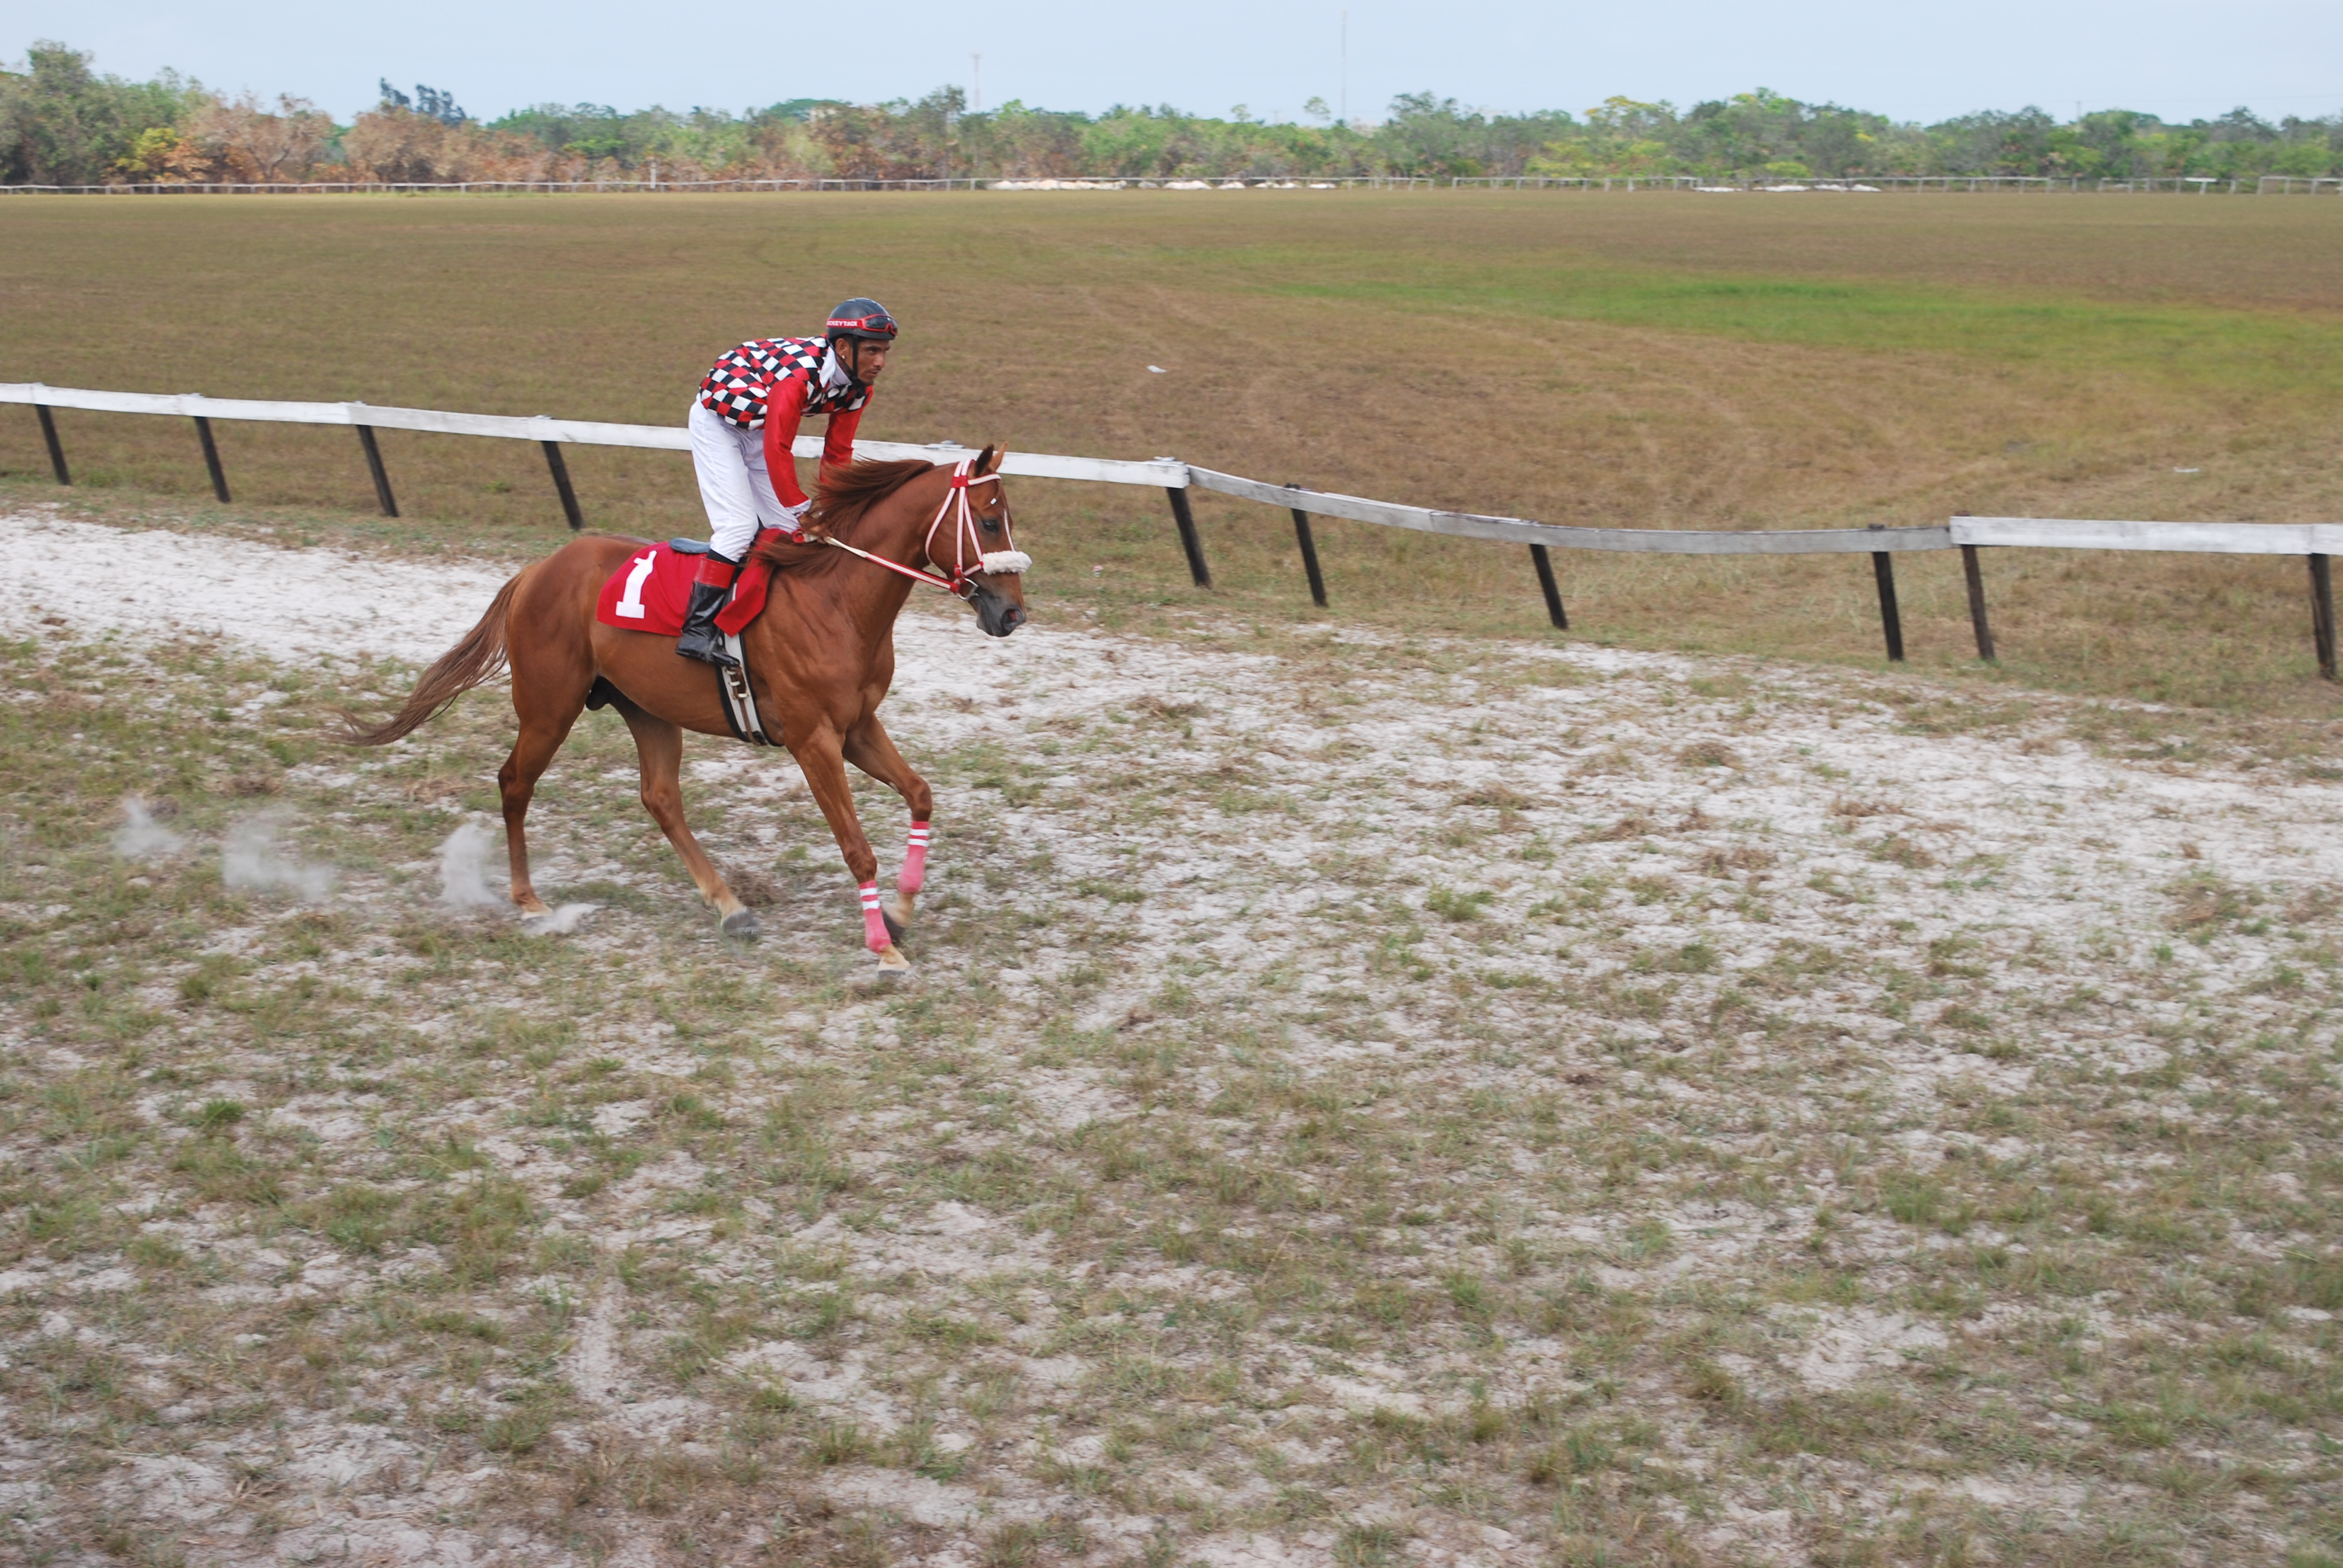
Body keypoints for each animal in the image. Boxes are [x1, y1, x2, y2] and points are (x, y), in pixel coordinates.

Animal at [344, 445, 1026, 970]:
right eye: (990, 522)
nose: (1012, 614)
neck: (835, 598)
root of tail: (537, 570)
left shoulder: (857, 726)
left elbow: (921, 795)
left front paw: (900, 911)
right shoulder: (813, 741)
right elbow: (857, 846)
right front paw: (883, 948)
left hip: (646, 708)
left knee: (660, 797)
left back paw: (730, 906)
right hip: (548, 707)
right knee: (514, 782)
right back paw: (529, 900)